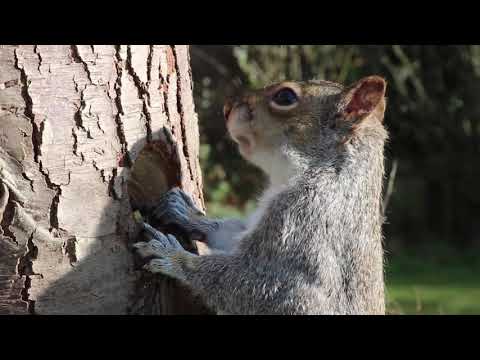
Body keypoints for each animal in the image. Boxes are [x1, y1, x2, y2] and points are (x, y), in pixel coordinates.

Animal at [133, 74, 388, 314]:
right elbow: (230, 234)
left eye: (285, 97)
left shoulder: (303, 222)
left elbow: (251, 286)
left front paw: (171, 254)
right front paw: (187, 213)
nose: (227, 108)